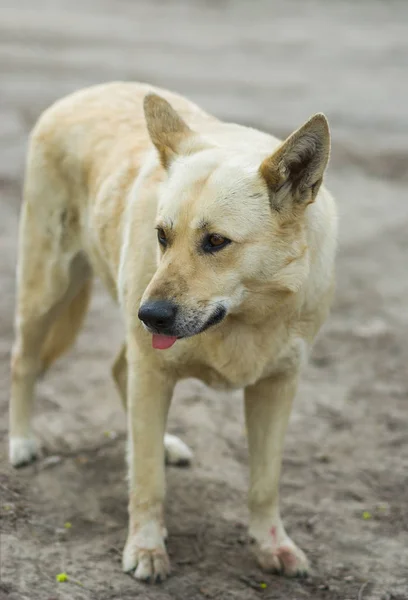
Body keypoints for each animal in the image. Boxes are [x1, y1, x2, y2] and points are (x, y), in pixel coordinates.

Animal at [8, 82, 338, 584]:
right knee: (23, 361)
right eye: (162, 236)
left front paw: (272, 545)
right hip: (48, 289)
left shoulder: (277, 385)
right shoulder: (153, 366)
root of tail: (83, 92)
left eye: (216, 242)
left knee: (119, 375)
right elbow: (148, 482)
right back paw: (22, 441)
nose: (150, 315)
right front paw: (146, 548)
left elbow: (265, 483)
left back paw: (161, 443)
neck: (246, 316)